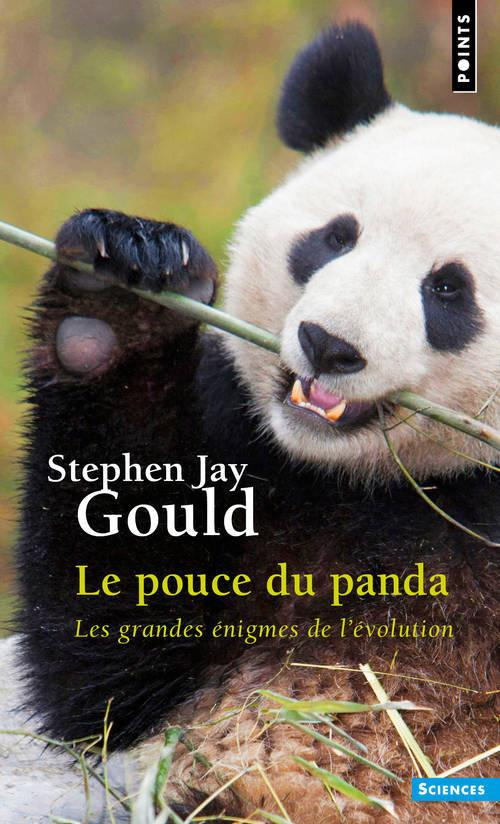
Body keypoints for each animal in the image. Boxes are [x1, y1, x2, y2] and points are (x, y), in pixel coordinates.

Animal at [17, 22, 499, 824]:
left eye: (448, 290)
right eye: (335, 238)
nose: (328, 344)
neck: (376, 486)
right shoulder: (255, 473)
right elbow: (110, 664)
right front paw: (120, 290)